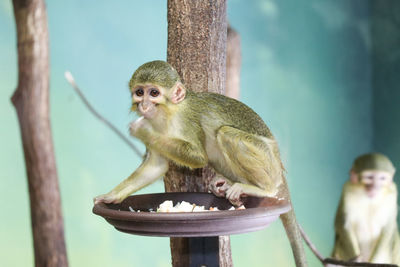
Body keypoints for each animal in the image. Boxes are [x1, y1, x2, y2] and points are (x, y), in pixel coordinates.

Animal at [94, 60, 306, 267]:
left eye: (153, 93)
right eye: (140, 92)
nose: (144, 105)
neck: (168, 113)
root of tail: (278, 160)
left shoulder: (187, 122)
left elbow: (198, 157)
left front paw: (143, 131)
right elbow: (156, 166)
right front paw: (111, 196)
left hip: (268, 160)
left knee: (226, 134)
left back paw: (264, 189)